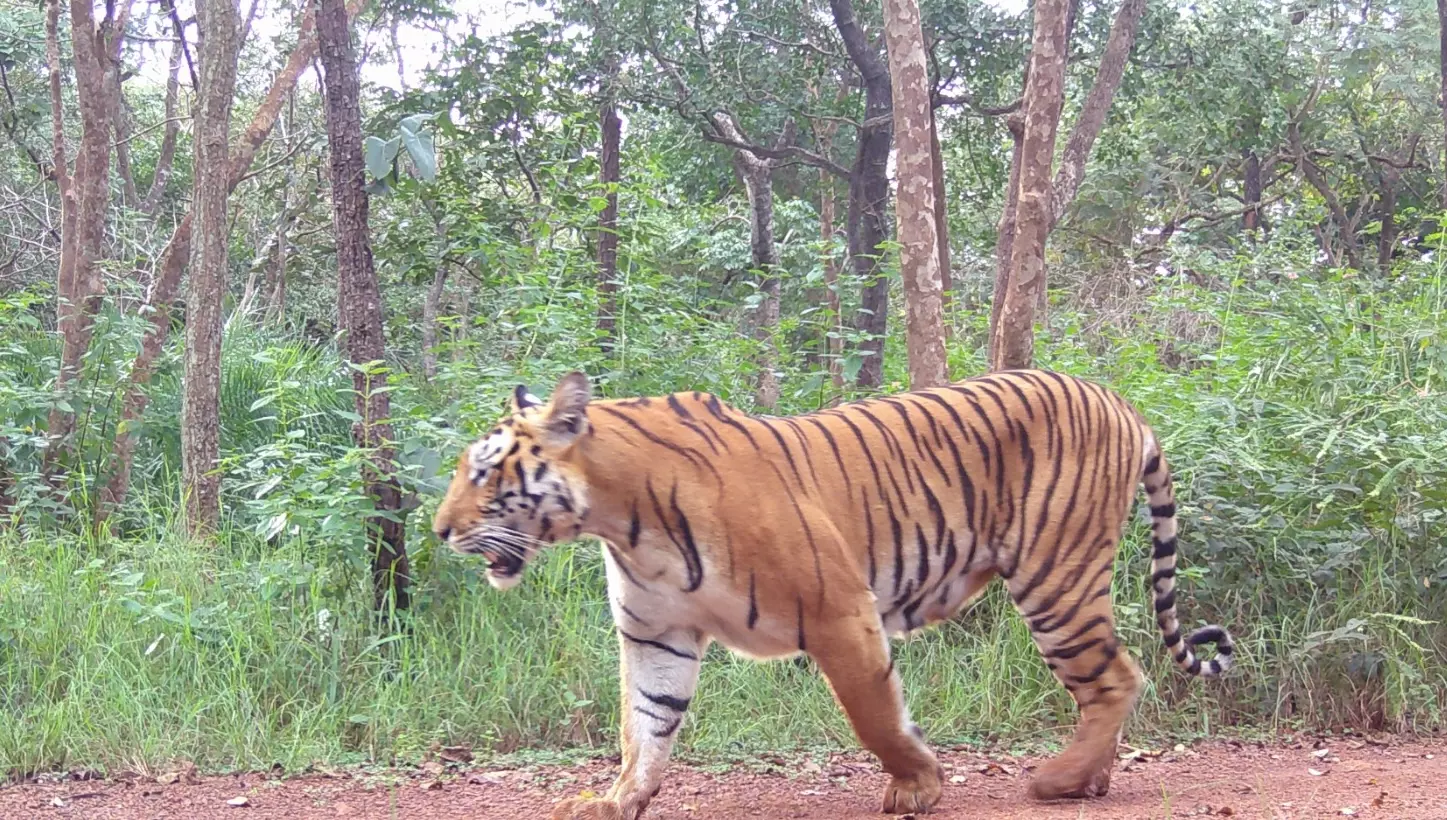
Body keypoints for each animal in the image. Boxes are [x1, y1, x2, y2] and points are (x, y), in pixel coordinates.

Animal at [431, 369, 1233, 819]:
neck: (619, 518)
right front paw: (616, 799)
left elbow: (874, 715)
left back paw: (1061, 780)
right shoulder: (658, 635)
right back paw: (1090, 780)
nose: (438, 530)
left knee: (1115, 676)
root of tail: (1121, 403)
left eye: (484, 472)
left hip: (1054, 578)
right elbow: (645, 726)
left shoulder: (840, 611)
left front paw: (918, 787)